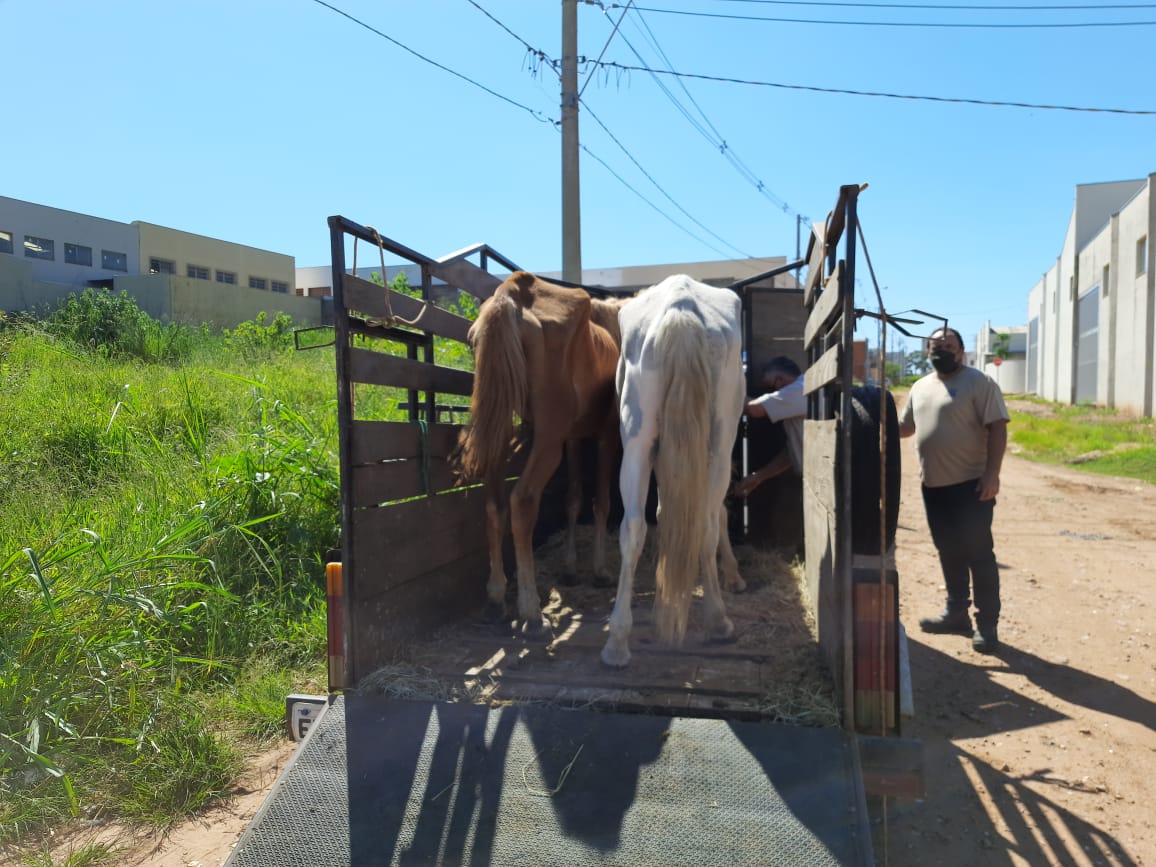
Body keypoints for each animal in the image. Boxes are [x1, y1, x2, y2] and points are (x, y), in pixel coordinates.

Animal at [455, 271, 628, 638]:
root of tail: (511, 297)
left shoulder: (572, 438)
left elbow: (574, 498)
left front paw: (570, 567)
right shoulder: (606, 436)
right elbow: (601, 502)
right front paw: (600, 570)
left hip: (502, 424)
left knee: (494, 505)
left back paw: (496, 600)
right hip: (548, 439)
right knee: (522, 501)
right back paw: (532, 613)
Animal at [601, 275, 744, 670]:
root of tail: (681, 309)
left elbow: (664, 516)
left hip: (637, 443)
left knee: (634, 527)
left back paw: (617, 642)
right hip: (720, 448)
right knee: (707, 524)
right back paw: (718, 621)